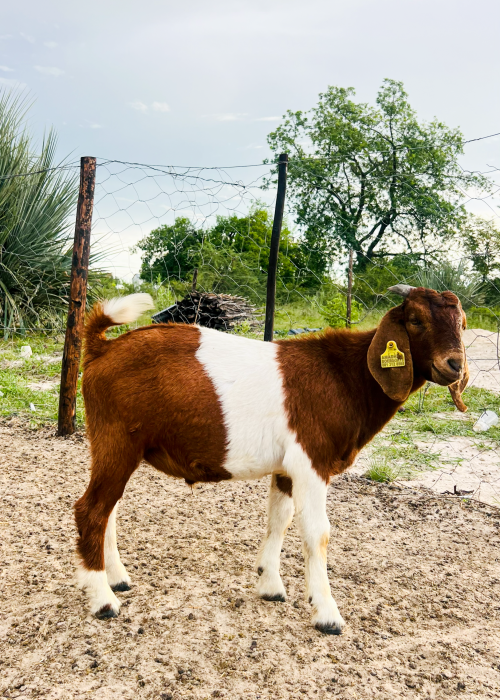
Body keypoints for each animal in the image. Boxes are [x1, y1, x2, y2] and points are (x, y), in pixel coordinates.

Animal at [75, 286, 468, 634]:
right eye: (415, 320)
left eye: (462, 323)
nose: (454, 364)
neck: (344, 376)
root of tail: (101, 348)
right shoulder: (312, 462)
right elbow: (317, 532)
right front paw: (327, 615)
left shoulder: (286, 469)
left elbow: (279, 519)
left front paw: (270, 586)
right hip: (116, 441)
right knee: (92, 510)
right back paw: (104, 601)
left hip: (119, 448)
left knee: (109, 508)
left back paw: (117, 578)